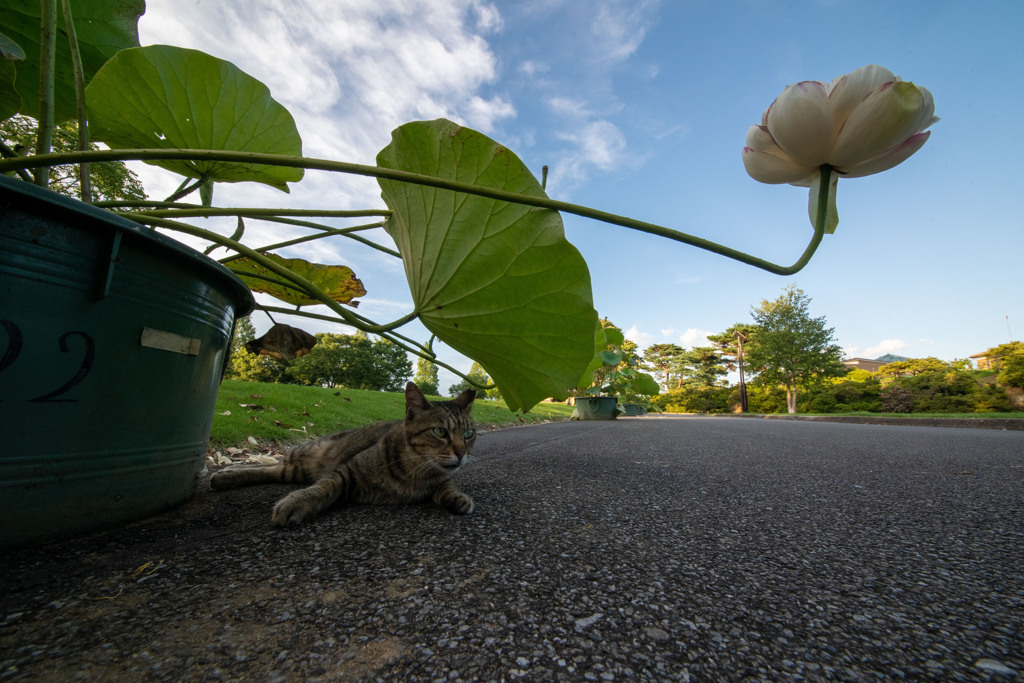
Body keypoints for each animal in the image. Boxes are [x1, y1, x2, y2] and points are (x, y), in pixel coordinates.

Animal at [210, 382, 479, 528]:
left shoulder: (442, 478)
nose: (461, 454)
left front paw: (457, 497)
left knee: (272, 470)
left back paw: (228, 473)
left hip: (294, 470)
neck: (417, 472)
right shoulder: (347, 472)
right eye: (440, 431)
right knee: (274, 463)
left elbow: (447, 485)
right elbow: (321, 488)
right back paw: (226, 473)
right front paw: (296, 502)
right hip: (302, 458)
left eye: (468, 434)